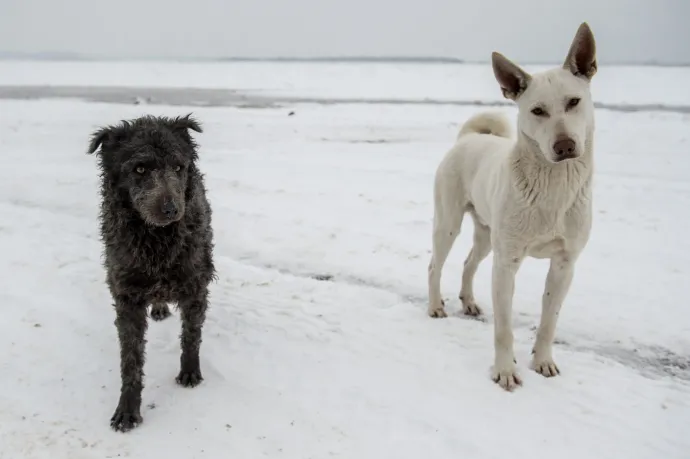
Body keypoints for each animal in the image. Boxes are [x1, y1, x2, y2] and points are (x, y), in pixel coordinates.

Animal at [87, 114, 215, 432]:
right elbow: (130, 361)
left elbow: (191, 336)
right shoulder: (127, 298)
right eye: (140, 168)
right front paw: (127, 410)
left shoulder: (195, 287)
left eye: (178, 167)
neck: (156, 239)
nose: (171, 209)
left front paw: (190, 373)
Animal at [424, 23, 596, 392]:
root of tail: (468, 138)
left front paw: (543, 361)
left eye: (574, 102)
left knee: (469, 263)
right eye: (537, 111)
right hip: (448, 224)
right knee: (435, 265)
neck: (553, 188)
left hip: (487, 234)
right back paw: (435, 306)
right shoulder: (507, 264)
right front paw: (504, 371)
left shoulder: (564, 265)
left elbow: (549, 321)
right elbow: (503, 329)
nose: (565, 146)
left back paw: (469, 302)